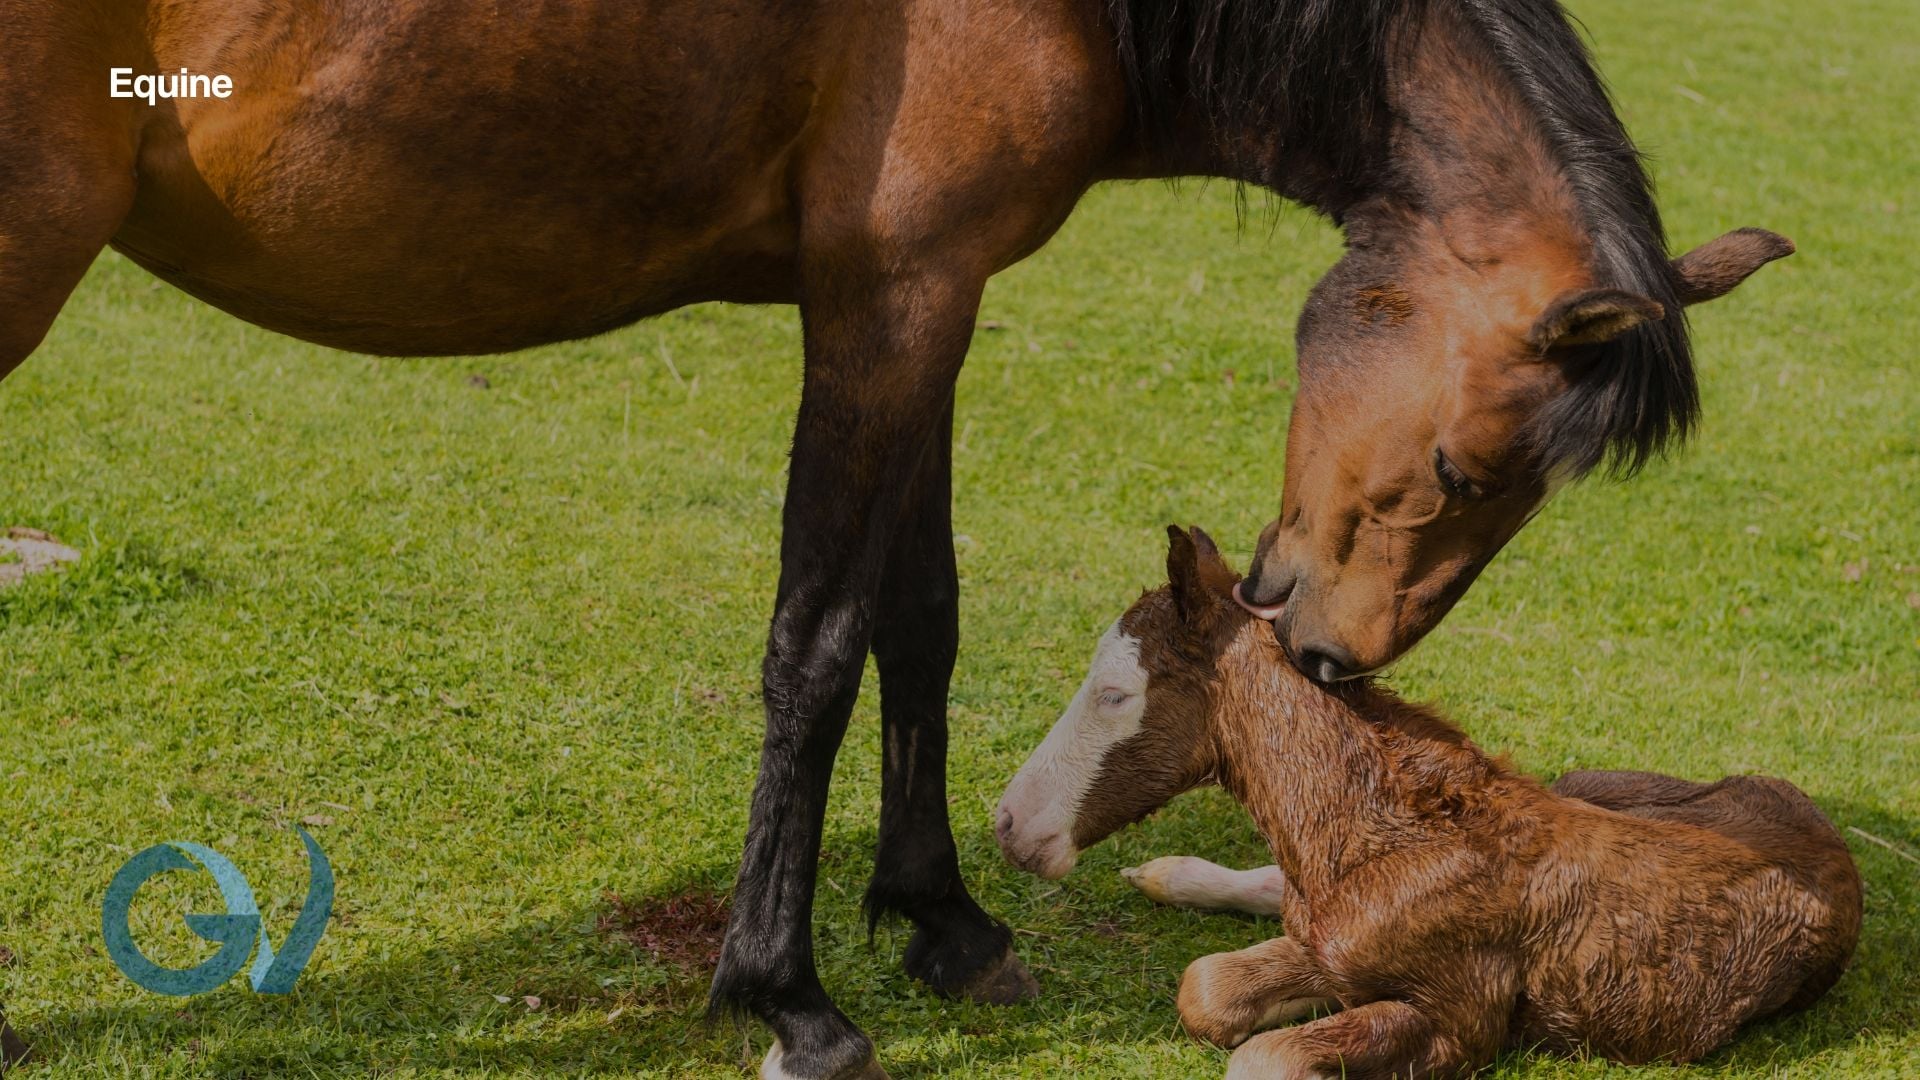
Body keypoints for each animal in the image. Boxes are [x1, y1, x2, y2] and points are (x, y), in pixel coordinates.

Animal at [997, 527, 1861, 1078]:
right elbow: (1207, 988)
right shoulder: (1329, 943)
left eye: (1115, 694)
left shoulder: (1461, 1018)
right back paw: (1169, 872)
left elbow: (1259, 1054)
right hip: (1590, 779)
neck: (1371, 838)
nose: (1009, 824)